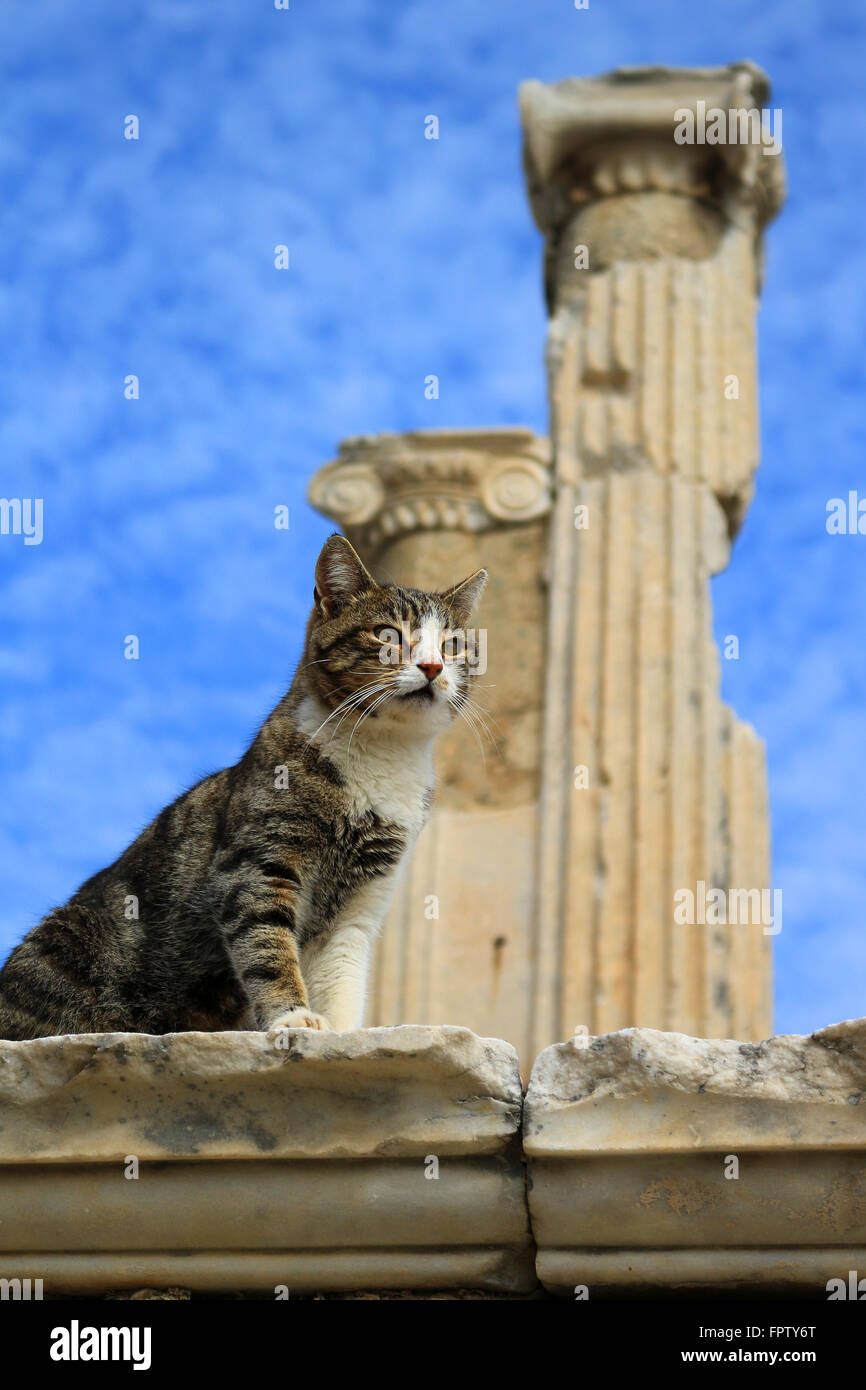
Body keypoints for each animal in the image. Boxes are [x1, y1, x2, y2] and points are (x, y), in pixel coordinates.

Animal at [0, 536, 489, 1039]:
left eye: (453, 646)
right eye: (388, 635)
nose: (432, 666)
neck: (385, 754)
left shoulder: (361, 904)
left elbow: (343, 976)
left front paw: (346, 1036)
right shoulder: (257, 865)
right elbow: (267, 949)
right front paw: (293, 1016)